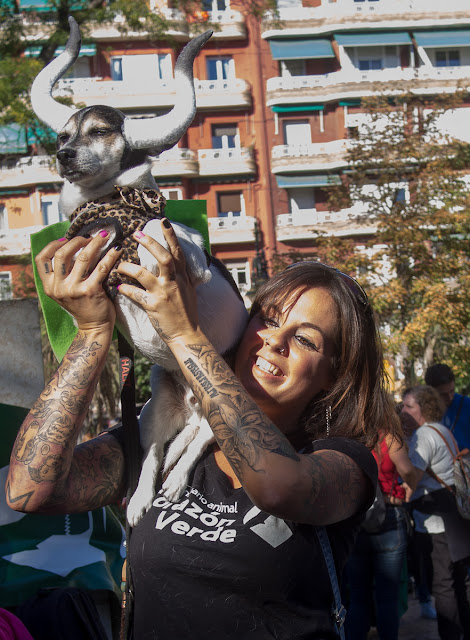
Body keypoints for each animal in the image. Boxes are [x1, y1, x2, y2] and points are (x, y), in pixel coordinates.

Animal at [30, 16, 248, 524]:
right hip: (151, 412)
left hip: (222, 408)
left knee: (196, 444)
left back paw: (175, 482)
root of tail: (191, 402)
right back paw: (143, 496)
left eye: (99, 131)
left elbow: (161, 230)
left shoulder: (172, 236)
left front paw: (159, 248)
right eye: (63, 137)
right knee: (152, 452)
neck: (107, 208)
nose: (64, 156)